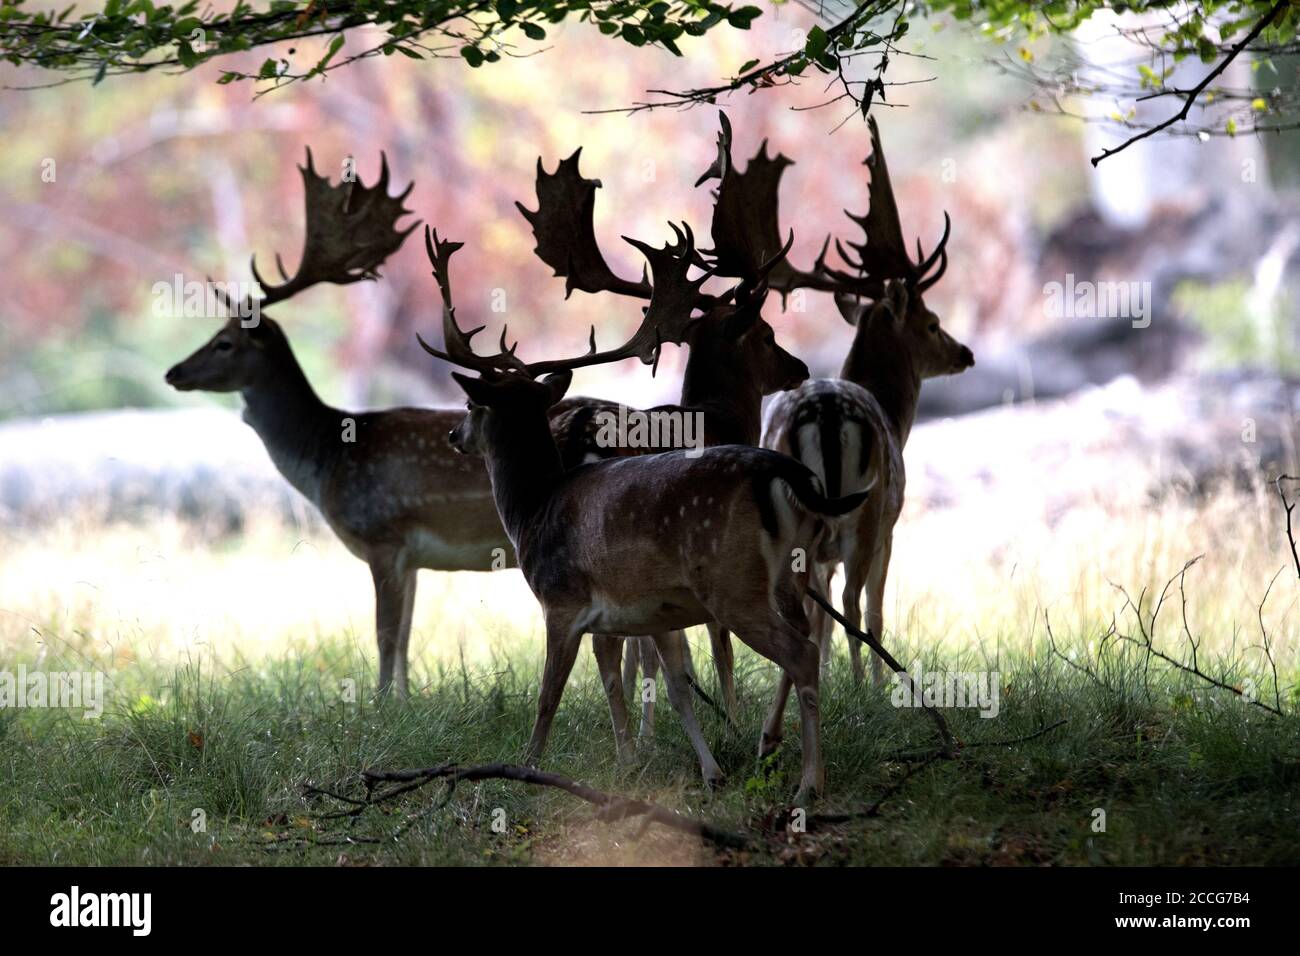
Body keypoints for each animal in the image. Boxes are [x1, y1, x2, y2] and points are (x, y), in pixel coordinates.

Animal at [164, 150, 518, 699]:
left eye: (225, 342)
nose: (173, 372)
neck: (328, 454)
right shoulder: (413, 558)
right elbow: (404, 637)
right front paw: (404, 700)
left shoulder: (383, 535)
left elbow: (384, 634)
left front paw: (378, 705)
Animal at [418, 223, 869, 800]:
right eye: (768, 336)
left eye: (472, 405)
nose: (455, 435)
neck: (533, 508)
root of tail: (786, 473)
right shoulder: (648, 611)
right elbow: (666, 684)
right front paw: (694, 769)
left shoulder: (561, 601)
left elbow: (548, 697)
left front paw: (526, 769)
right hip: (791, 569)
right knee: (806, 632)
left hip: (732, 582)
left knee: (801, 651)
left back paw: (808, 781)